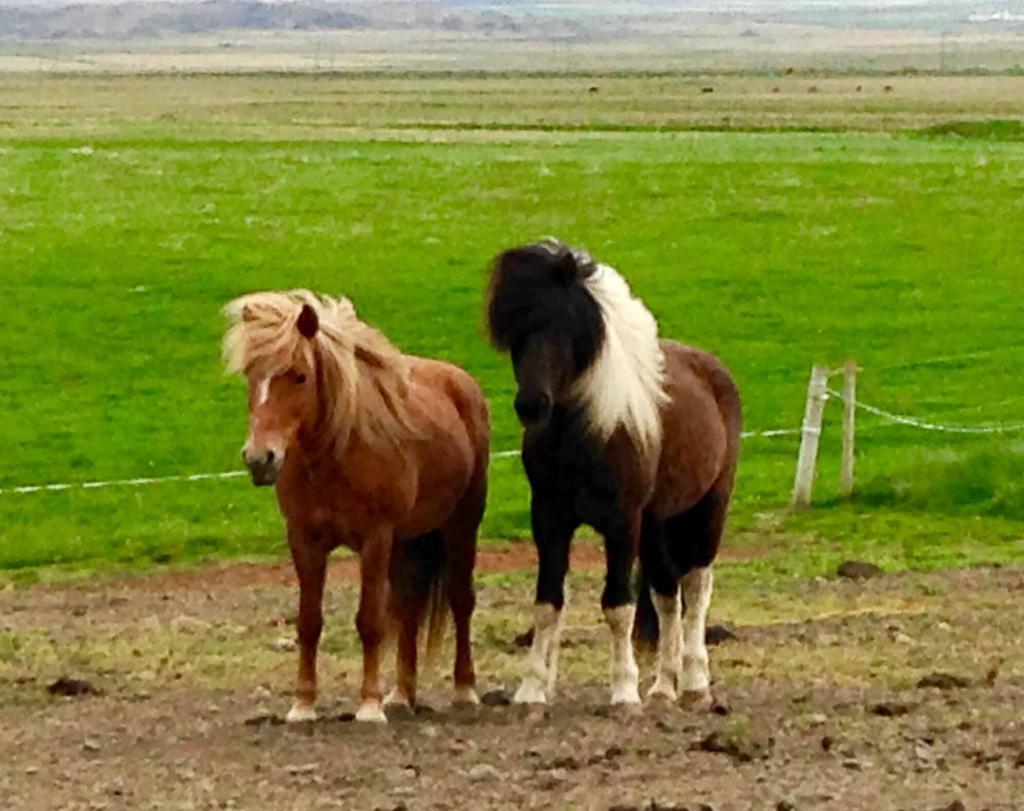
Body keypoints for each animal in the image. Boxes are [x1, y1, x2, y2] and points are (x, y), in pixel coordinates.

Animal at [221, 290, 491, 720]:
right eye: (251, 374)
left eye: (300, 375)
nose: (260, 458)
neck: (334, 456)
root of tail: (461, 383)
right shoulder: (305, 540)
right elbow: (309, 622)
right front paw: (303, 704)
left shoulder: (375, 539)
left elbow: (370, 621)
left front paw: (368, 705)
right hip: (406, 542)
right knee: (409, 607)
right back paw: (401, 695)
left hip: (461, 525)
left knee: (461, 601)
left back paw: (464, 690)